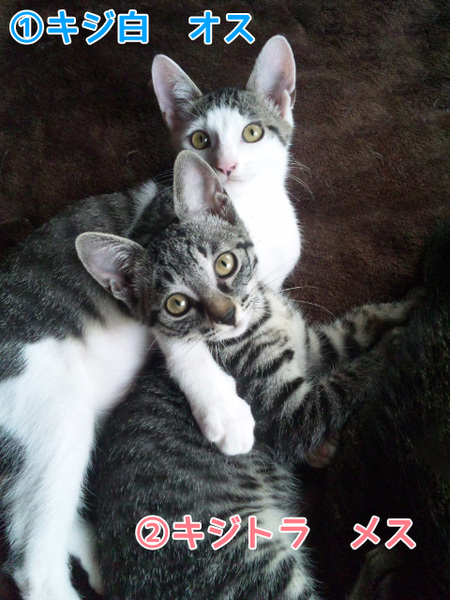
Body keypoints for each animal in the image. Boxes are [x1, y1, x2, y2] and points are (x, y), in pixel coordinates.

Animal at [91, 154, 416, 600]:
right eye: (177, 304)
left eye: (224, 263)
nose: (227, 314)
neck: (265, 314)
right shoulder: (290, 413)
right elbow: (345, 381)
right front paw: (398, 341)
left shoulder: (314, 346)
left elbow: (360, 322)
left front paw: (410, 303)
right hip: (247, 558)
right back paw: (383, 562)